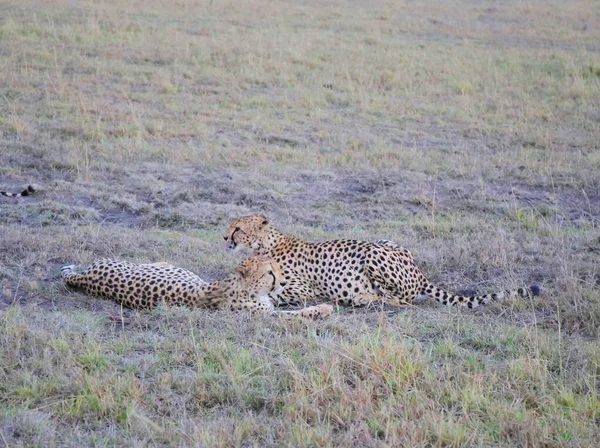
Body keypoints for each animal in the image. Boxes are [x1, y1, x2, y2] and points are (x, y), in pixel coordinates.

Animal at [223, 216, 540, 308]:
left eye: (237, 227)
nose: (225, 237)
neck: (264, 244)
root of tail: (419, 273)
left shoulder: (302, 288)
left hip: (372, 253)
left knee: (402, 300)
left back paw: (362, 298)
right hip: (386, 240)